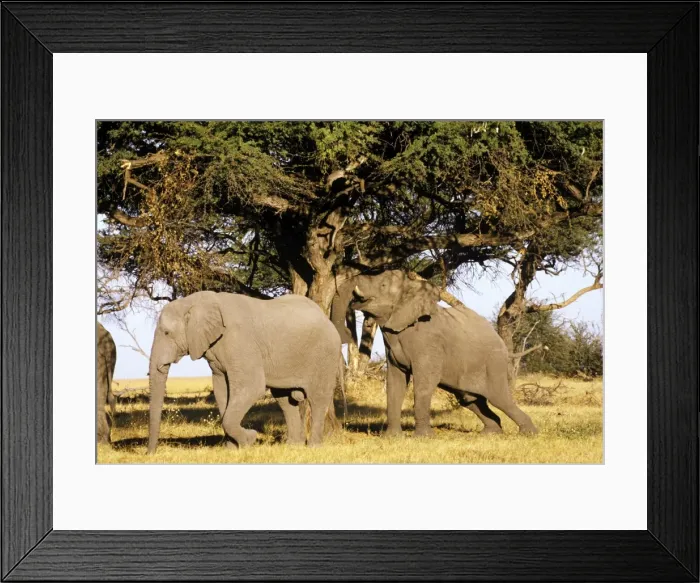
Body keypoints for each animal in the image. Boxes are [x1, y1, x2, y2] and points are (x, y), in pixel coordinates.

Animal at [147, 290, 344, 453]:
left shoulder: (240, 340)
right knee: (285, 400)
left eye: (167, 333)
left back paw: (313, 447)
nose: (150, 453)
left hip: (325, 355)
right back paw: (293, 446)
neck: (195, 302)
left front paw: (250, 439)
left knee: (317, 399)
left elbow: (252, 387)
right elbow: (222, 391)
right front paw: (232, 449)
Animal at [330, 270, 537, 437]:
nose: (346, 334)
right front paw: (392, 438)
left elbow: (424, 383)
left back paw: (528, 433)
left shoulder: (428, 343)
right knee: (470, 400)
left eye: (382, 286)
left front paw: (423, 438)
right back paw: (491, 433)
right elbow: (395, 383)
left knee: (500, 398)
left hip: (494, 364)